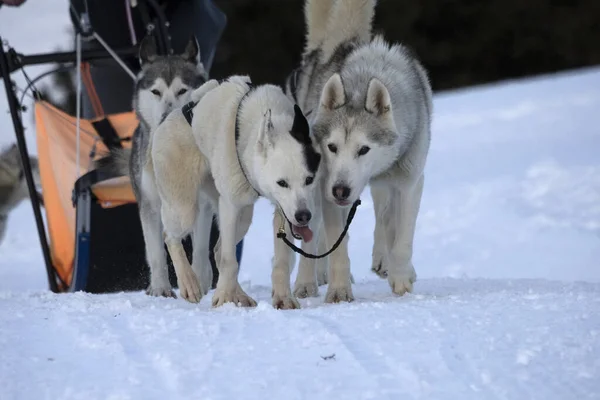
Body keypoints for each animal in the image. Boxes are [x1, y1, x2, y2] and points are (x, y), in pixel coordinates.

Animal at [95, 35, 214, 304]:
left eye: (182, 90)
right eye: (156, 92)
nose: (167, 116)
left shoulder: (202, 204)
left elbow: (201, 249)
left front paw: (199, 281)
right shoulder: (148, 203)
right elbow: (156, 252)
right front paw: (160, 288)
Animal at [151, 74, 324, 306]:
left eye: (309, 179)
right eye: (282, 183)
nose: (303, 216)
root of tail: (172, 116)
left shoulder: (282, 212)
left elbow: (281, 261)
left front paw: (283, 298)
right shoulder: (230, 206)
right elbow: (229, 261)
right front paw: (224, 298)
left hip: (244, 215)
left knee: (217, 250)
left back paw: (239, 295)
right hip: (184, 208)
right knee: (171, 237)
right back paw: (190, 283)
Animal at [282, 0, 432, 302]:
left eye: (364, 149)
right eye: (332, 147)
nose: (340, 190)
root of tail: (341, 42)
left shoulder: (410, 182)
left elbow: (402, 237)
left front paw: (401, 280)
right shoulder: (327, 192)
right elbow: (338, 246)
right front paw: (339, 291)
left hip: (381, 186)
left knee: (384, 219)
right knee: (314, 240)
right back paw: (308, 282)